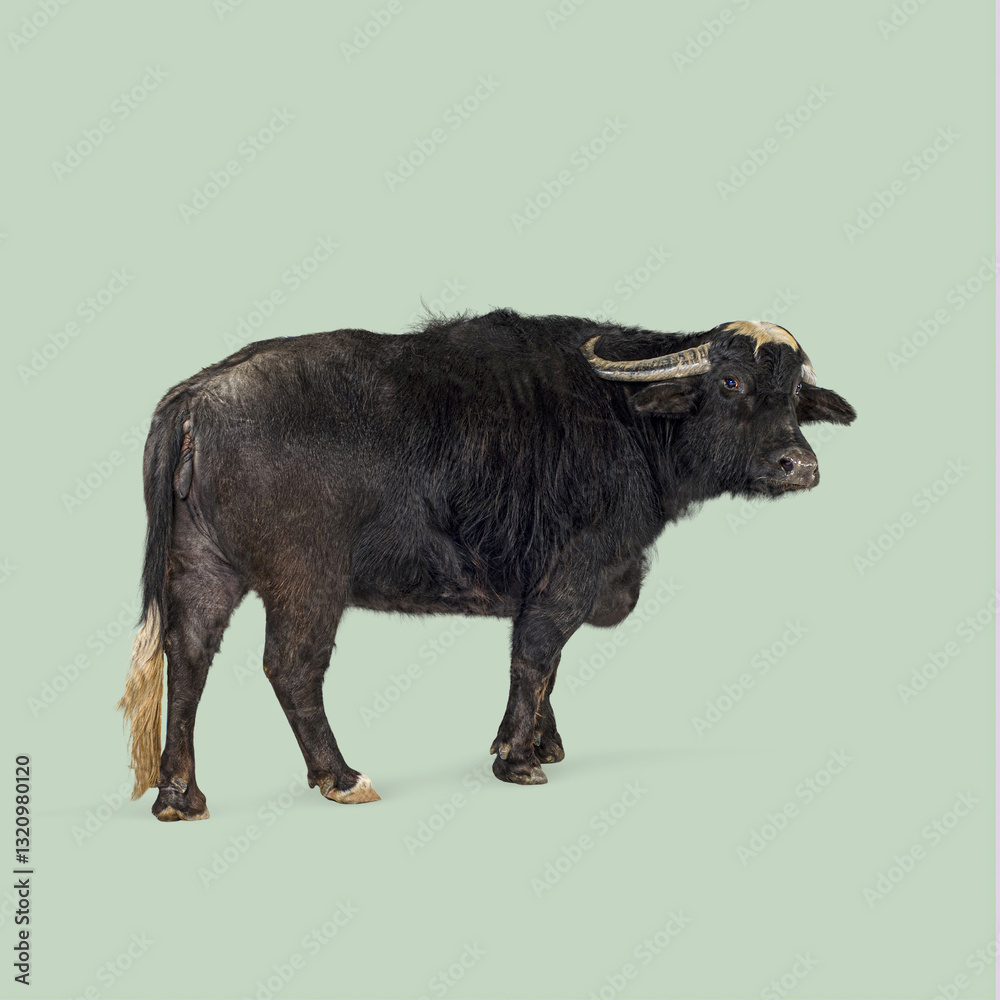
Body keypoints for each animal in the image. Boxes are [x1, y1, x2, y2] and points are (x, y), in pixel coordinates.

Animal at [118, 308, 855, 820]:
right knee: (291, 668)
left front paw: (539, 743)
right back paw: (342, 777)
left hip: (204, 566)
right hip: (307, 580)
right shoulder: (569, 576)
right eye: (730, 382)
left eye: (794, 395)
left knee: (188, 656)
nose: (800, 466)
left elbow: (547, 667)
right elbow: (535, 656)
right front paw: (519, 759)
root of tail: (194, 399)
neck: (625, 421)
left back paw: (179, 795)